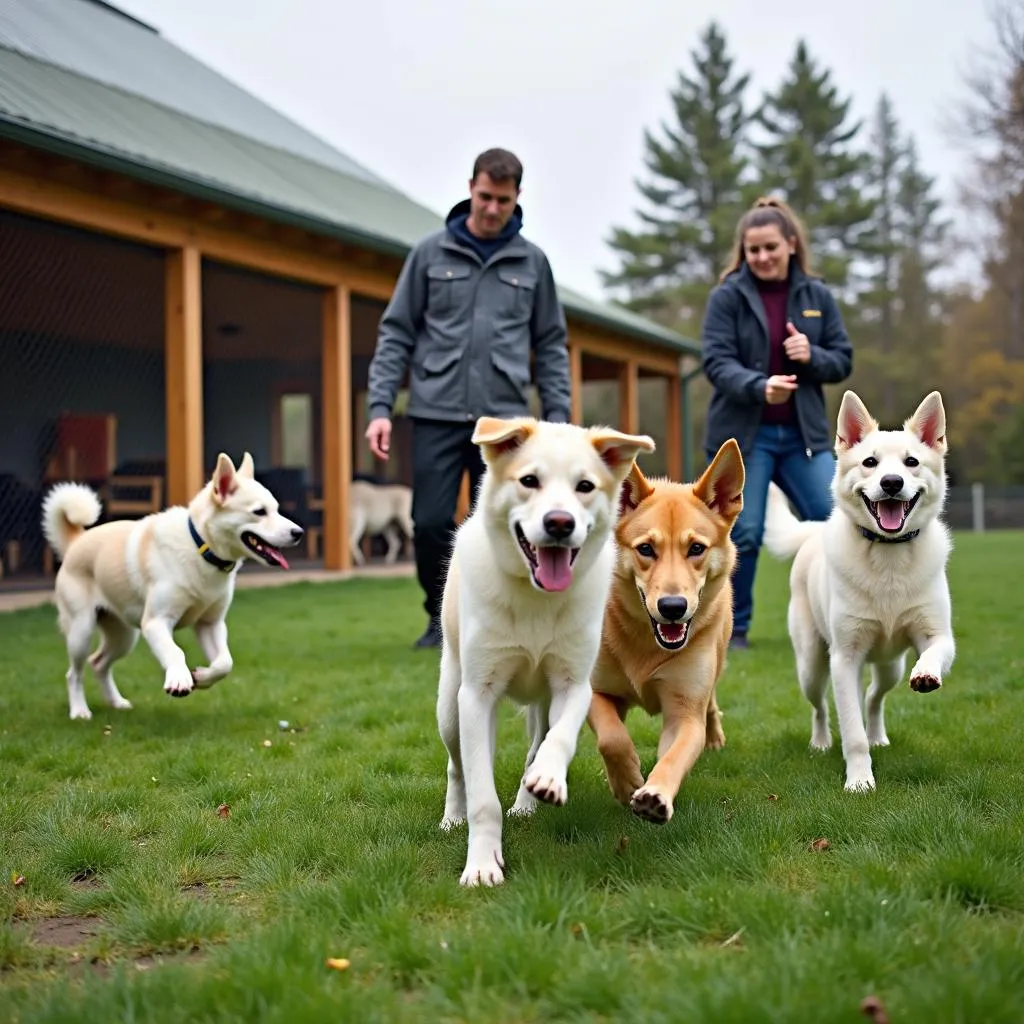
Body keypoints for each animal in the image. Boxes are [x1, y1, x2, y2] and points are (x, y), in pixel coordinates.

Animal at [43, 452, 303, 724]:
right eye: (259, 512)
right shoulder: (156, 622)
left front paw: (201, 677)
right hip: (81, 631)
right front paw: (179, 679)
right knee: (74, 673)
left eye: (276, 509)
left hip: (123, 636)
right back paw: (79, 711)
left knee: (99, 663)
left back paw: (116, 702)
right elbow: (176, 652)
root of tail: (77, 541)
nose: (299, 533)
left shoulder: (210, 624)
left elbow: (225, 663)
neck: (201, 548)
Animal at [438, 415, 655, 888]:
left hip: (540, 703)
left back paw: (527, 796)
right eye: (529, 481)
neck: (536, 598)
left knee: (535, 745)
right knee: (457, 766)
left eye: (585, 486)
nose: (559, 523)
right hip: (450, 706)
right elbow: (482, 793)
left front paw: (548, 780)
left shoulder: (574, 685)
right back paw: (452, 817)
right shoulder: (477, 696)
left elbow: (560, 739)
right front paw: (482, 865)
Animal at [585, 440, 745, 823]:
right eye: (646, 548)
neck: (648, 644)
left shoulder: (684, 710)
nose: (673, 607)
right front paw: (626, 779)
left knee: (711, 704)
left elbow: (674, 755)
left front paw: (654, 793)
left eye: (696, 548)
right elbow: (611, 737)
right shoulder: (594, 691)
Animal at [765, 391, 954, 790]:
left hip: (890, 667)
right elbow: (851, 732)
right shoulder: (845, 659)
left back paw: (877, 736)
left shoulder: (938, 635)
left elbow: (932, 653)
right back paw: (820, 743)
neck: (888, 555)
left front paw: (927, 675)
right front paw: (859, 781)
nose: (892, 482)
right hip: (812, 666)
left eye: (911, 462)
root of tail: (814, 529)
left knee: (872, 697)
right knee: (821, 707)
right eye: (870, 462)